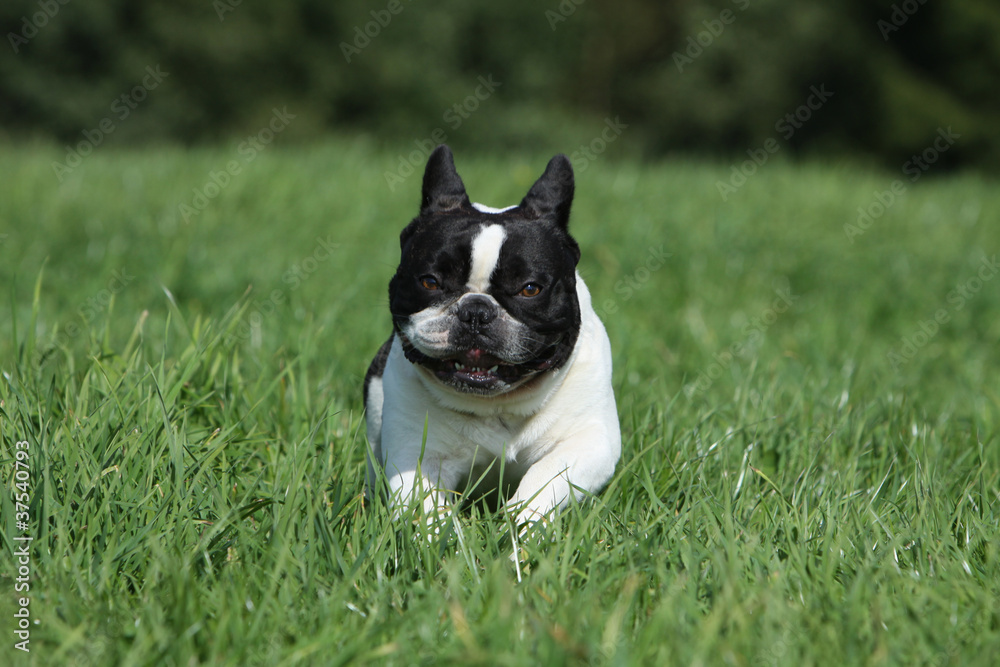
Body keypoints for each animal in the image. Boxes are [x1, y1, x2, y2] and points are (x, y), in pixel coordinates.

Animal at [364, 146, 620, 528]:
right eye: (430, 282)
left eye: (530, 289)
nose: (476, 311)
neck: (497, 405)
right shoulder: (416, 452)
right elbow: (425, 507)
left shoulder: (590, 442)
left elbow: (545, 478)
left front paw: (520, 526)